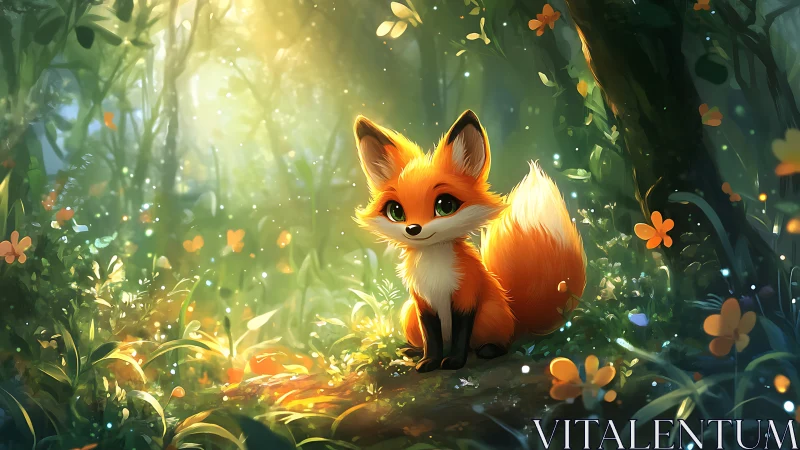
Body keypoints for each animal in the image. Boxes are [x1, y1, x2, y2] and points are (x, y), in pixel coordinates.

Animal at [353, 110, 586, 372]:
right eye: (396, 211)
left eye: (445, 205)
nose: (413, 229)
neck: (434, 267)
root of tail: (515, 318)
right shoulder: (422, 303)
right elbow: (431, 338)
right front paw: (429, 361)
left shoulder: (466, 296)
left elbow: (460, 335)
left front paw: (454, 361)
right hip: (409, 314)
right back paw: (413, 350)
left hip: (488, 316)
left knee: (500, 344)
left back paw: (489, 350)